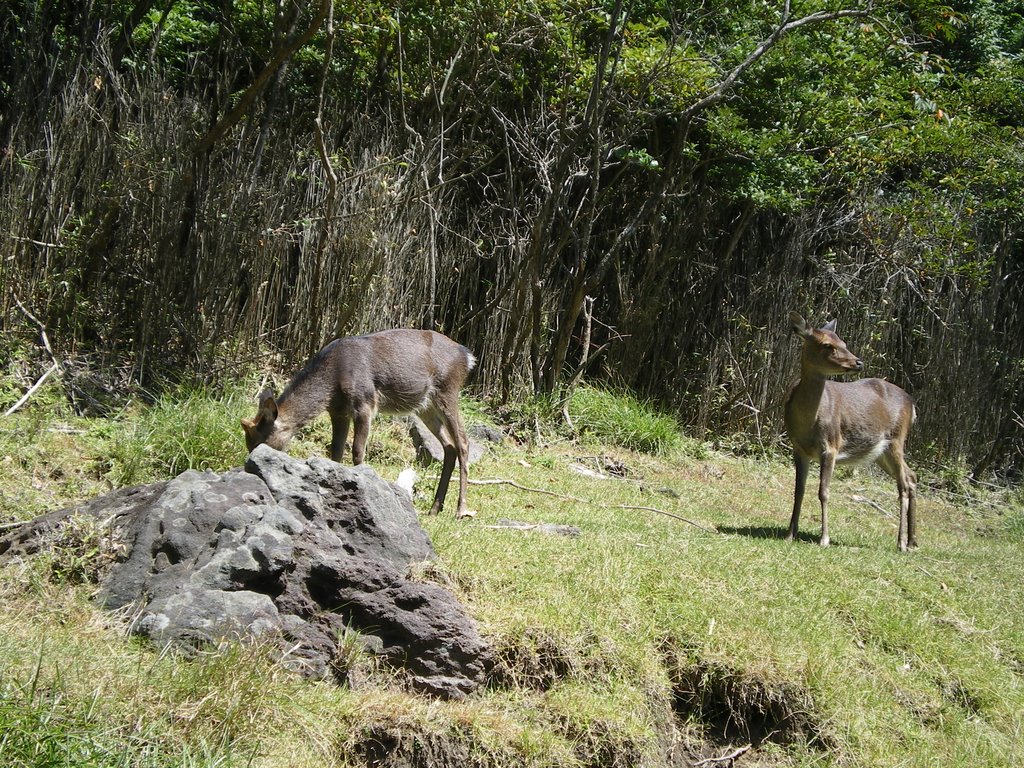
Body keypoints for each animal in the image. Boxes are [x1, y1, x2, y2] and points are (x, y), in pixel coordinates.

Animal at [241, 329, 477, 518]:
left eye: (261, 443)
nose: (250, 468)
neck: (332, 382)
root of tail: (468, 356)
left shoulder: (365, 403)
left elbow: (357, 451)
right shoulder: (338, 412)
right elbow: (335, 451)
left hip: (448, 390)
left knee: (463, 442)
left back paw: (460, 510)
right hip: (425, 405)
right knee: (449, 446)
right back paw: (435, 509)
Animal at [782, 313, 921, 552]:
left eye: (843, 342)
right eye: (827, 345)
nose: (858, 361)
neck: (807, 423)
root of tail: (912, 404)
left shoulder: (831, 445)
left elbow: (824, 491)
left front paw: (824, 539)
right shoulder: (798, 448)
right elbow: (798, 490)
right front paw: (790, 534)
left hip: (897, 438)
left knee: (903, 485)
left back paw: (901, 542)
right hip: (881, 451)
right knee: (911, 477)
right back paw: (912, 541)